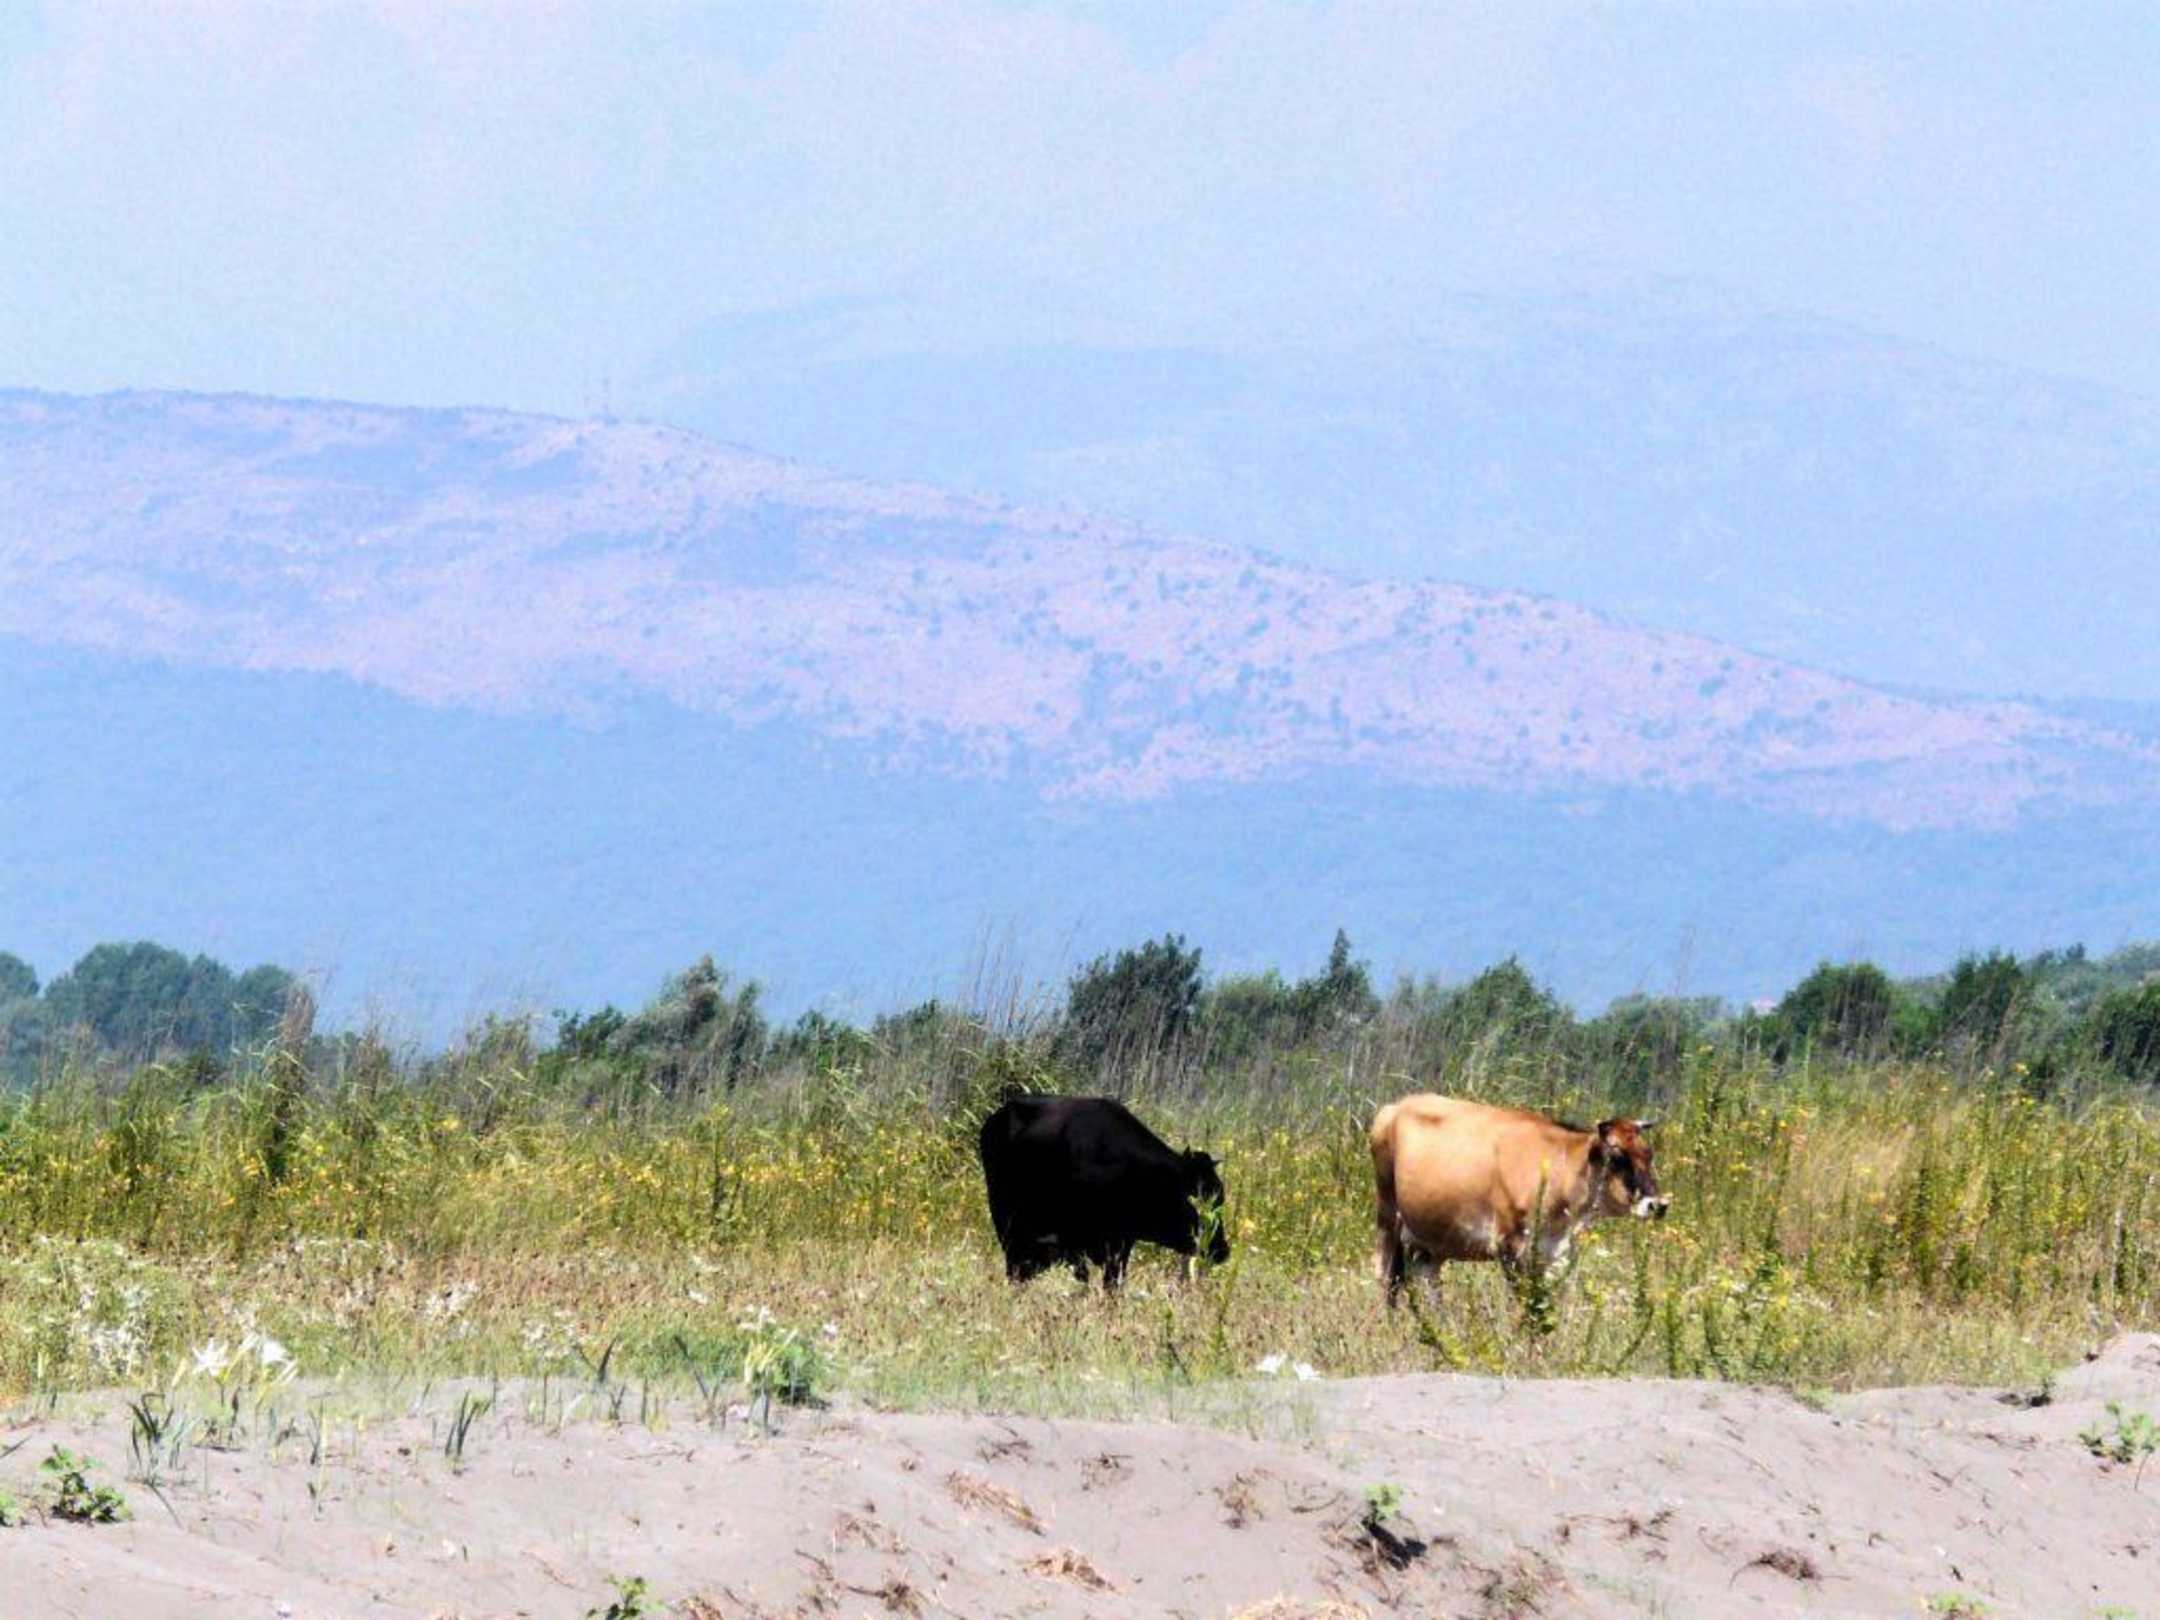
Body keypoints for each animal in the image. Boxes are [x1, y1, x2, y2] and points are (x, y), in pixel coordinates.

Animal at [977, 1093, 1231, 1291]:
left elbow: (1111, 1284)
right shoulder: (1074, 1241)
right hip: (1006, 1221)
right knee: (1015, 1266)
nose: (1221, 1249)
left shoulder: (1121, 1242)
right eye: (1195, 1200)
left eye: (1220, 1199)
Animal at [1368, 1094, 1667, 1308]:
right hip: (1388, 1218)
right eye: (1617, 1157)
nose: (1658, 1205)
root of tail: (1396, 1107)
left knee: (1426, 1285)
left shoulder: (1555, 1253)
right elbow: (1526, 1307)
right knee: (1386, 1279)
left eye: (1649, 1153)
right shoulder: (1510, 1247)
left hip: (1429, 1243)